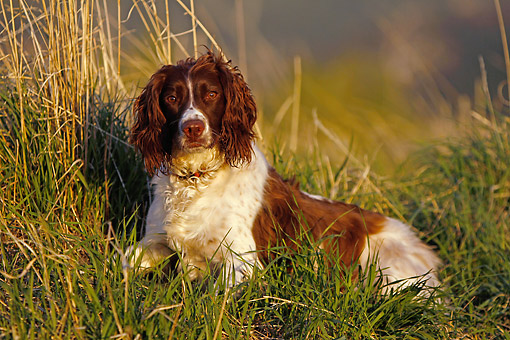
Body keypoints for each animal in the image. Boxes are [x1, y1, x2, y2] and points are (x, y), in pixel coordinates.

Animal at [125, 51, 440, 290]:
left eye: (212, 94)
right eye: (172, 98)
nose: (193, 128)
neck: (197, 179)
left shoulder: (244, 263)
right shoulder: (155, 240)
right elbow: (124, 260)